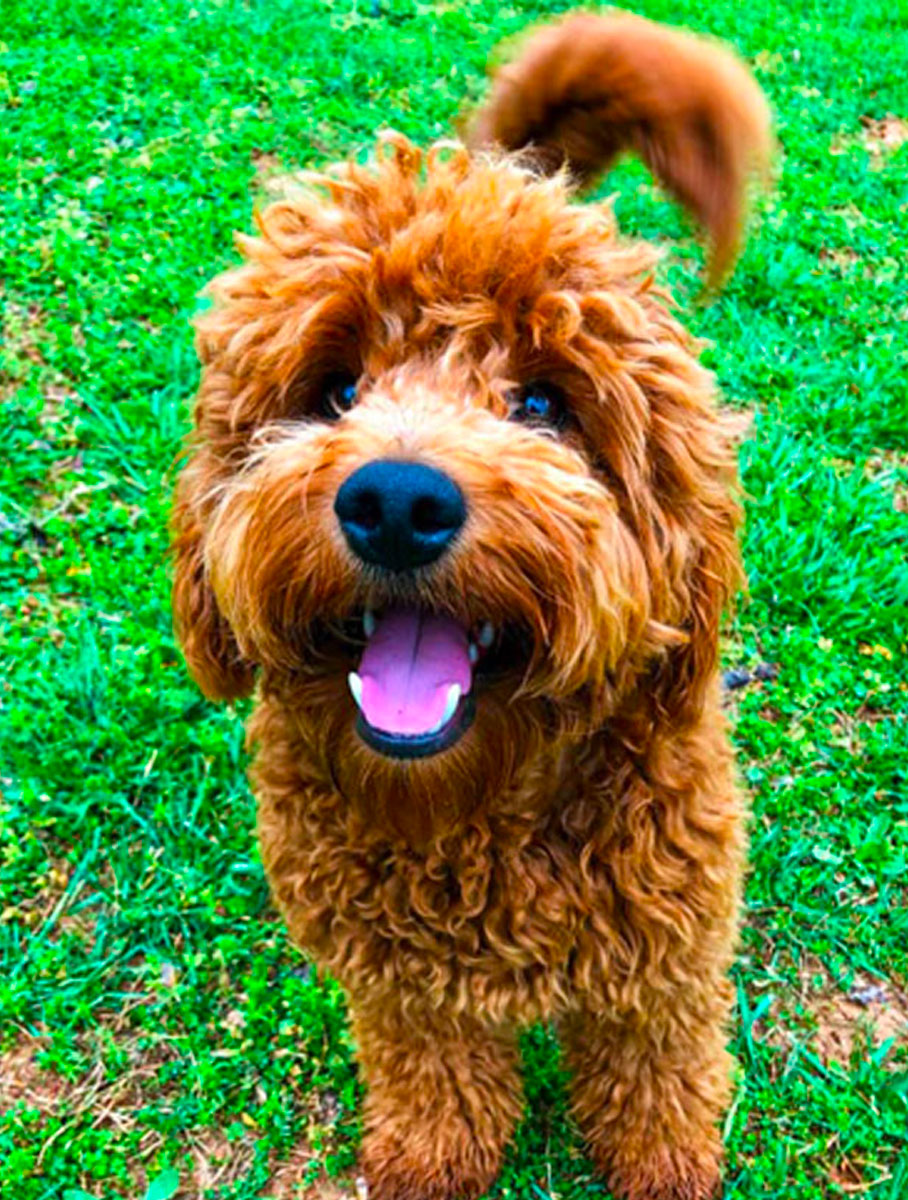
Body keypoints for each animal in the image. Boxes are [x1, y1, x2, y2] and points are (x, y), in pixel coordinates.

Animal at [170, 16, 762, 1200]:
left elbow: (657, 1063)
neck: (474, 807)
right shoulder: (395, 977)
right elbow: (433, 1067)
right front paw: (431, 1157)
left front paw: (667, 1162)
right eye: (336, 389)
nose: (397, 502)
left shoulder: (668, 943)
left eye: (540, 403)